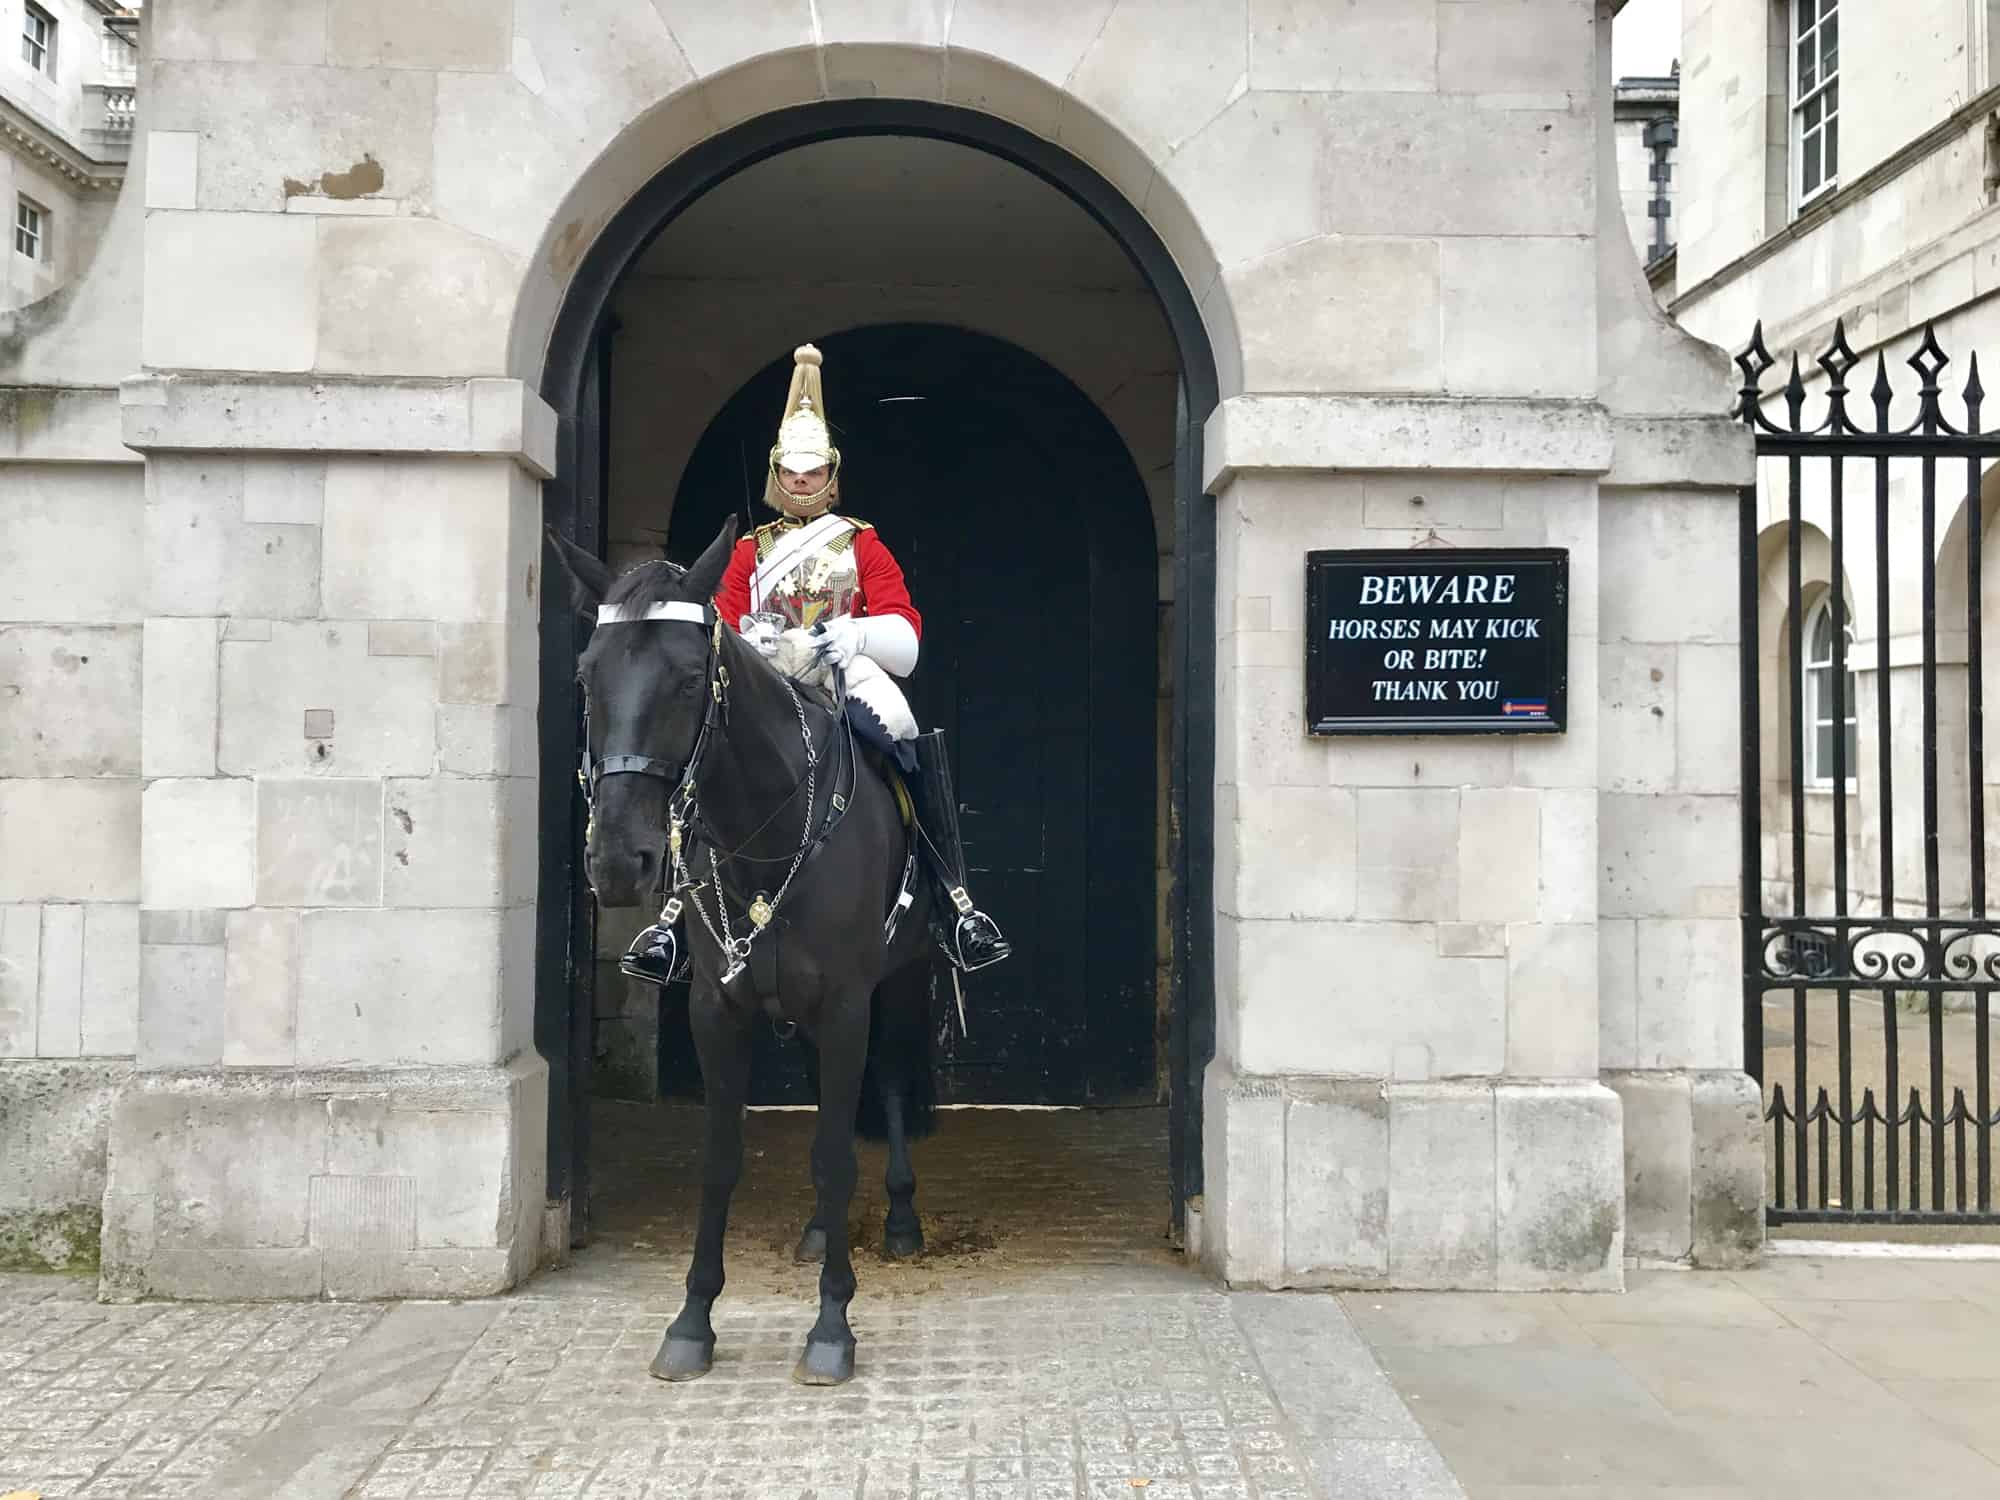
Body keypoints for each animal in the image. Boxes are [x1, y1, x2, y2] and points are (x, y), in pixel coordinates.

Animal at [548, 524, 936, 1392]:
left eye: (691, 678)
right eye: (587, 674)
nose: (618, 862)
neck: (769, 829)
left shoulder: (847, 1005)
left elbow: (835, 1156)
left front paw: (831, 1326)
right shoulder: (715, 1010)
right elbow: (723, 1160)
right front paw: (692, 1322)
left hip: (899, 986)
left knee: (892, 1087)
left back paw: (898, 1217)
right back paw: (822, 1231)